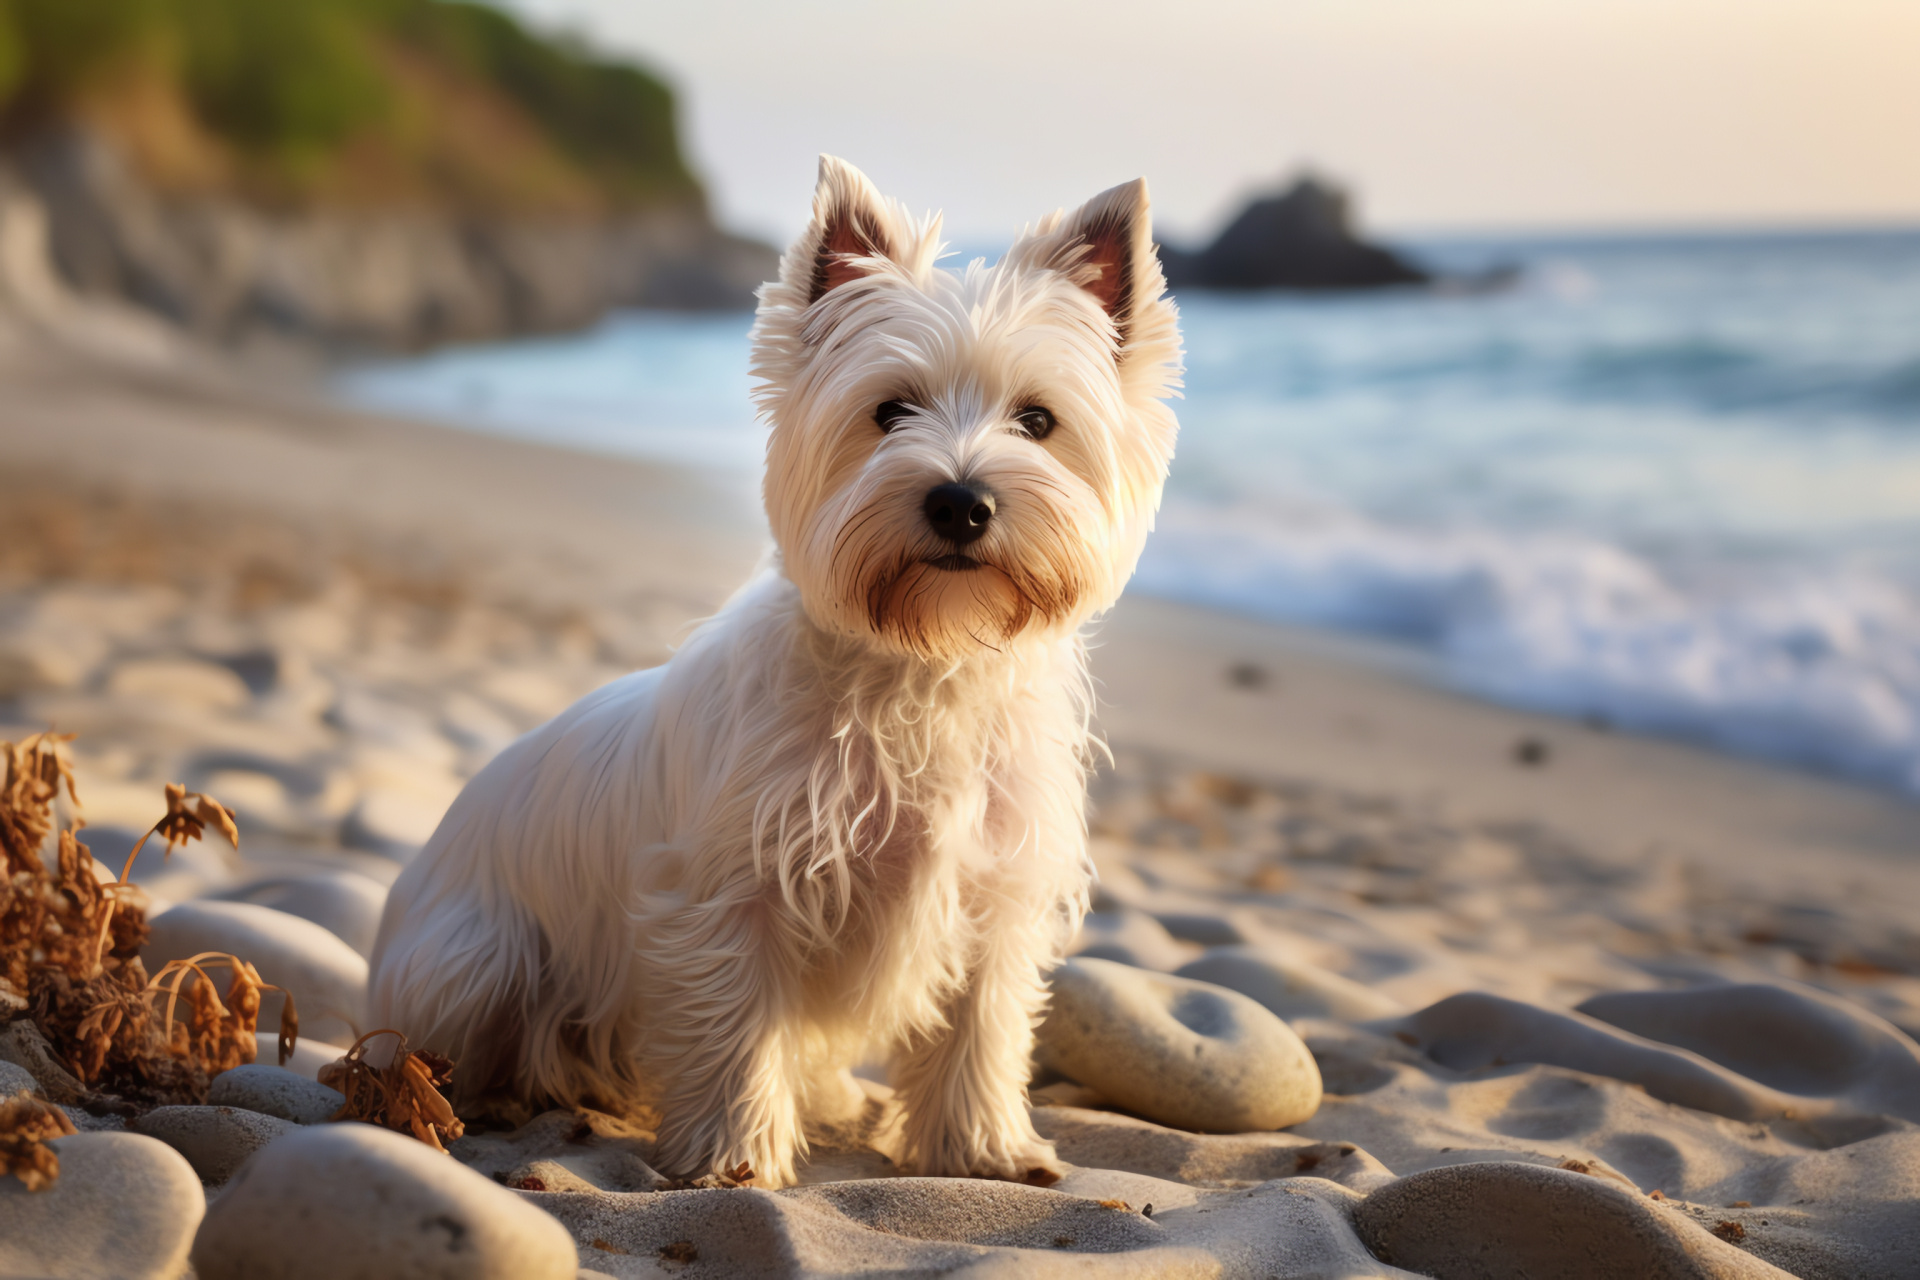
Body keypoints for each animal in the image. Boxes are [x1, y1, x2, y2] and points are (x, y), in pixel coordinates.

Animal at [364, 160, 1175, 1189]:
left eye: (1038, 421)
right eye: (890, 411)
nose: (961, 501)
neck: (923, 667)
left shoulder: (995, 898)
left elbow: (980, 1030)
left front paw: (983, 1149)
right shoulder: (729, 898)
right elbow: (736, 1032)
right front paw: (734, 1157)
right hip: (474, 958)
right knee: (450, 1041)